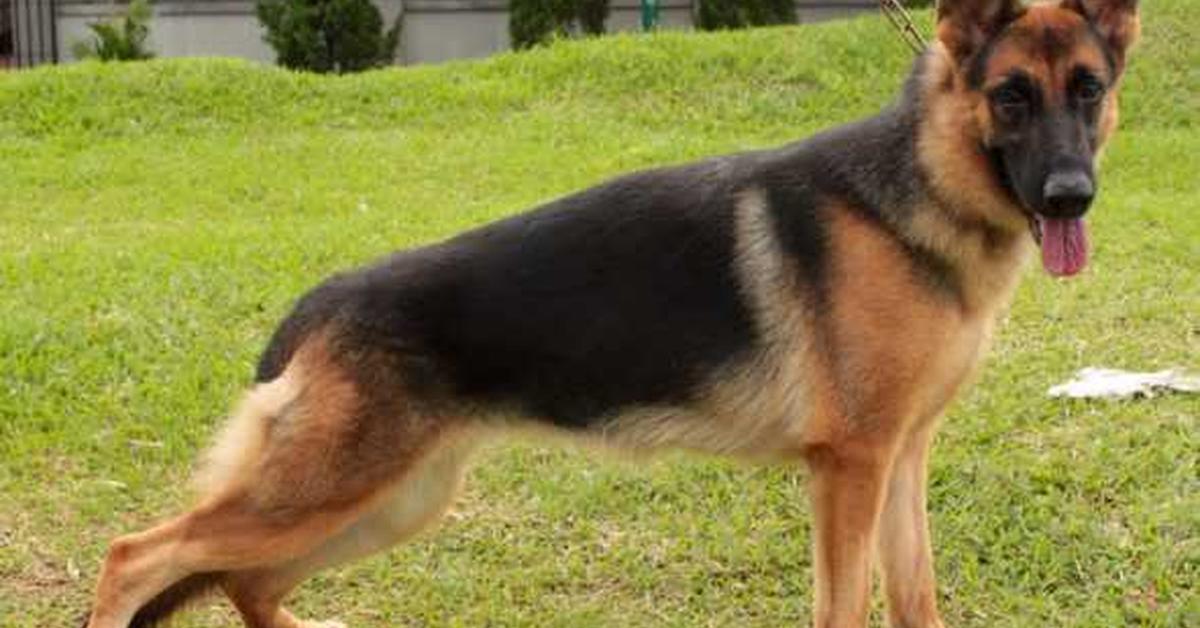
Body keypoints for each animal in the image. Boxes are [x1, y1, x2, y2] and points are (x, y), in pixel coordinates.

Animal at [87, 2, 1142, 624]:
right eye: (1010, 96)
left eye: (1088, 90)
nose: (1070, 197)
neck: (914, 192)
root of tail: (316, 307)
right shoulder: (849, 470)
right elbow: (847, 605)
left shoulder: (901, 460)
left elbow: (916, 593)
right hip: (329, 492)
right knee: (136, 555)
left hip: (393, 500)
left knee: (246, 580)